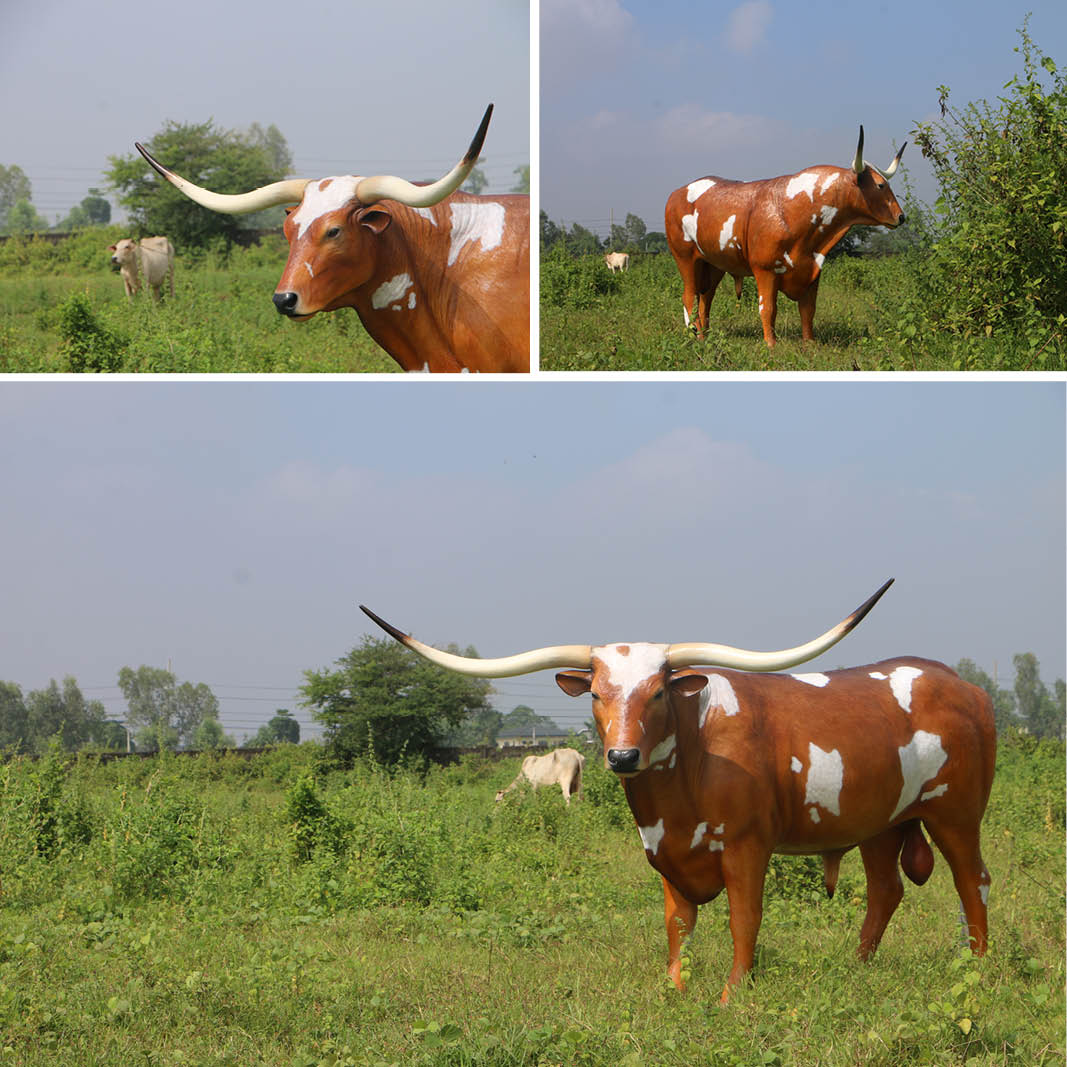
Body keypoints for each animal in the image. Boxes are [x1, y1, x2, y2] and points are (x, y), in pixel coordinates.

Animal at [359, 579, 996, 1002]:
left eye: (659, 691)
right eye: (598, 695)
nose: (621, 756)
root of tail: (962, 684)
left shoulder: (746, 846)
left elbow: (745, 916)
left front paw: (732, 995)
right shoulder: (663, 850)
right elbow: (677, 923)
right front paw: (673, 988)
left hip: (956, 813)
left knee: (974, 883)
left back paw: (978, 969)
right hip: (881, 822)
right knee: (886, 890)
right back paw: (857, 967)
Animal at [665, 127, 906, 346]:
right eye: (880, 185)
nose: (901, 217)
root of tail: (677, 192)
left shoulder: (813, 271)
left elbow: (808, 310)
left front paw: (810, 344)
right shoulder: (765, 270)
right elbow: (768, 308)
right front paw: (771, 344)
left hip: (713, 263)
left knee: (705, 298)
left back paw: (705, 336)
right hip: (685, 257)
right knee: (689, 296)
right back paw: (694, 337)